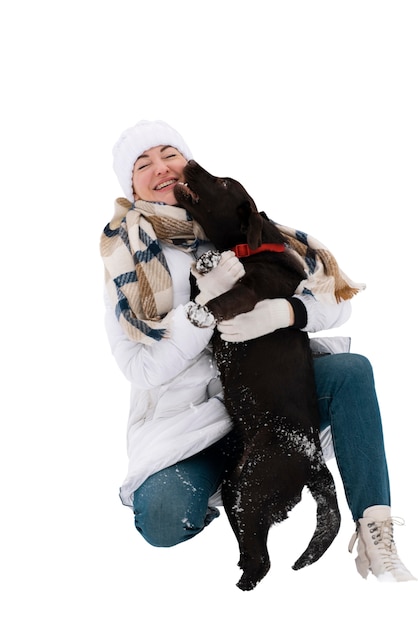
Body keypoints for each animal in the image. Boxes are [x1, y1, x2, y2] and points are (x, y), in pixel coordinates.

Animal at [173, 162, 340, 588]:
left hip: (252, 485)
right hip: (237, 485)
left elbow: (223, 298)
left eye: (221, 183)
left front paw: (202, 312)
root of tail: (314, 461)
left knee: (262, 562)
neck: (252, 249)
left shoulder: (251, 294)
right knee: (253, 549)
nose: (190, 164)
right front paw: (208, 263)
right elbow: (201, 280)